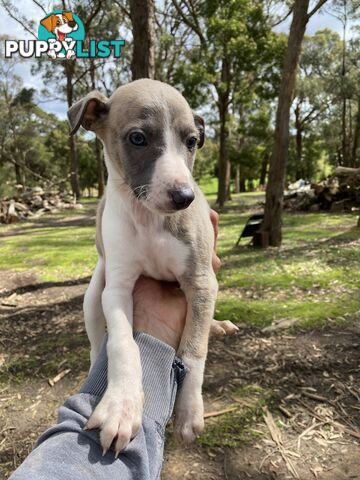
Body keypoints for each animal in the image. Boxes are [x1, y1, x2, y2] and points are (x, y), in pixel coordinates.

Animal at [68, 79, 238, 458]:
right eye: (137, 138)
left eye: (192, 141)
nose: (185, 197)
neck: (148, 219)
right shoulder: (117, 287)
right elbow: (122, 344)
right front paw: (120, 406)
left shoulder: (202, 281)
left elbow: (193, 350)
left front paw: (189, 410)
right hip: (93, 295)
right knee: (96, 342)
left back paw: (217, 324)